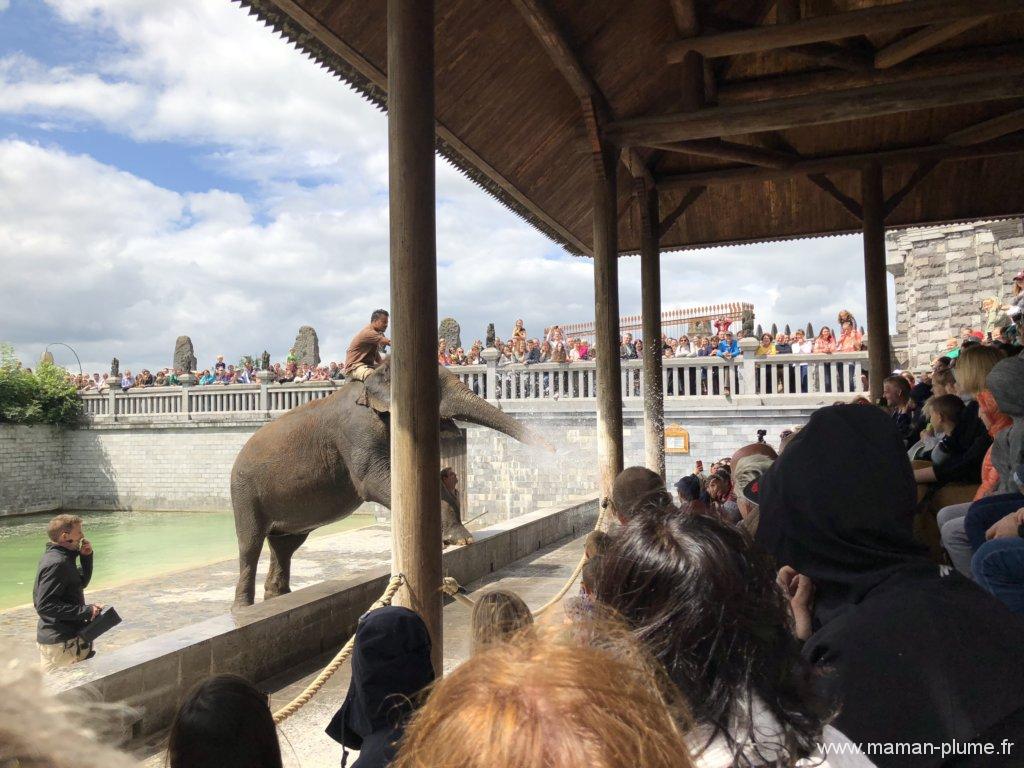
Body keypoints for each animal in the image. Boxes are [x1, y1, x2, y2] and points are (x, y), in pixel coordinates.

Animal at [229, 360, 548, 606]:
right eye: (435, 389)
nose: (551, 450)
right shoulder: (356, 431)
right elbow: (373, 481)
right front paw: (458, 539)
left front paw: (455, 533)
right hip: (244, 493)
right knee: (250, 545)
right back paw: (243, 608)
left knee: (285, 545)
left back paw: (276, 598)